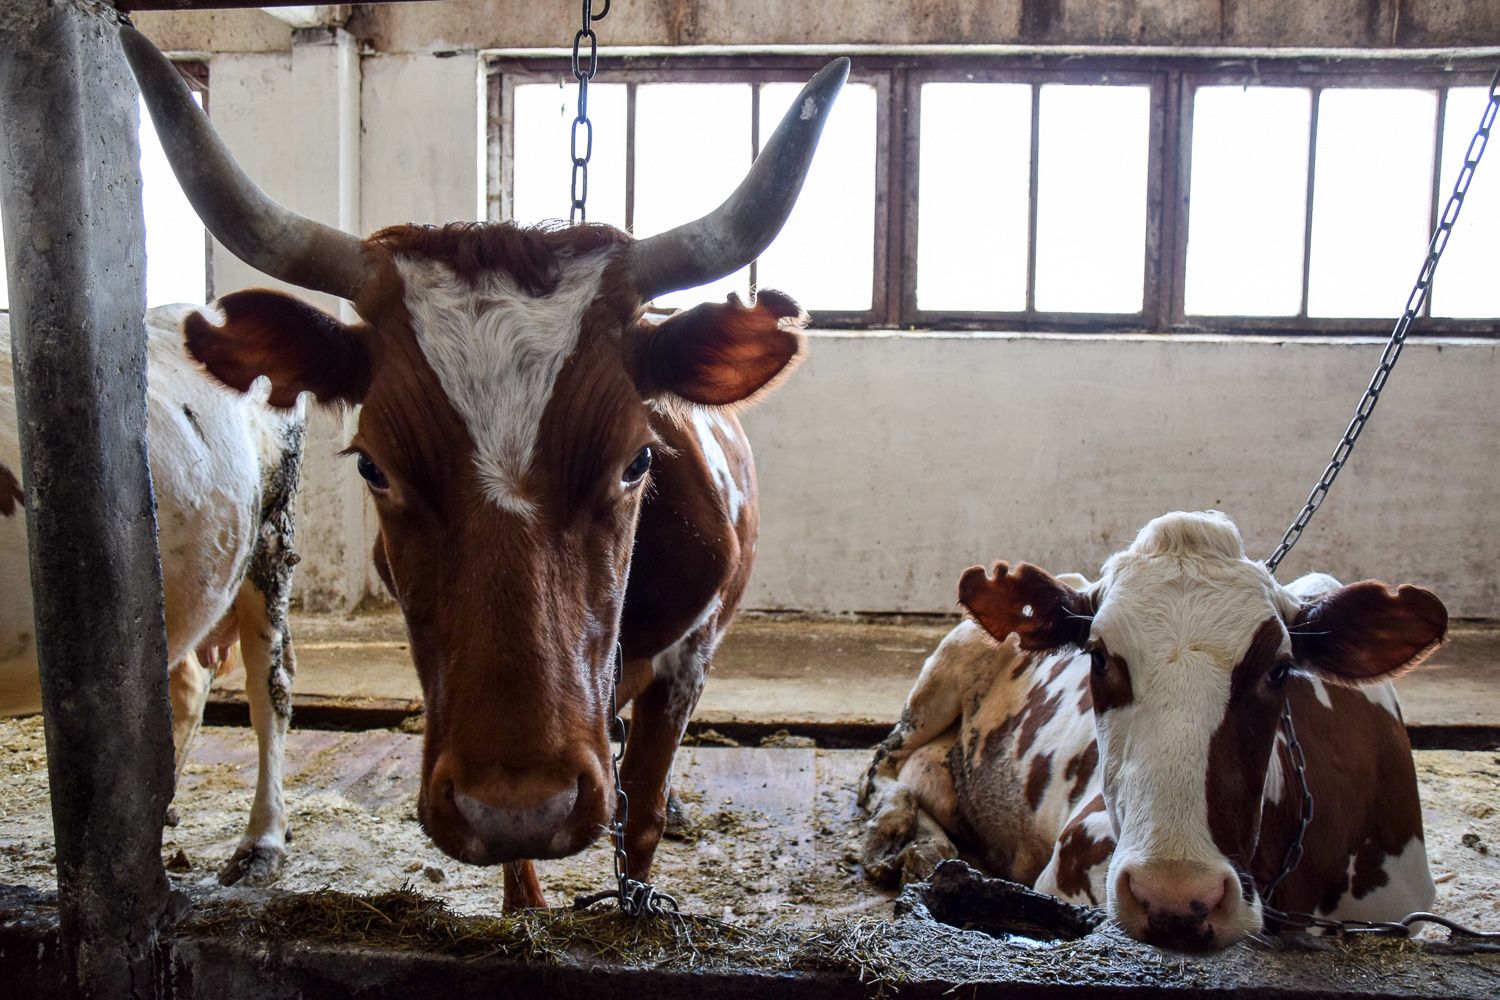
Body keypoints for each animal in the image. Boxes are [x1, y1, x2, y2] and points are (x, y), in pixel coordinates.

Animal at [120, 27, 846, 911]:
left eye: (638, 459)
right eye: (373, 467)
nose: (521, 805)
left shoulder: (691, 661)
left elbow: (640, 820)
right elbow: (521, 878)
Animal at [864, 512, 1446, 953]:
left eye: (1279, 670)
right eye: (1098, 657)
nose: (1175, 898)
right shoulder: (1075, 856)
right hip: (944, 671)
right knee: (886, 765)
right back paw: (908, 841)